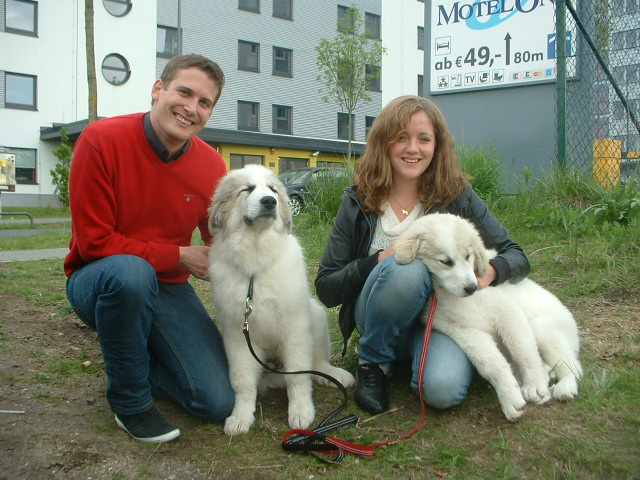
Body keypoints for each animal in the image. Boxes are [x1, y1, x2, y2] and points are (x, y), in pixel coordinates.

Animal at [208, 165, 356, 436]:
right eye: (247, 189)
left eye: (273, 189)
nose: (269, 201)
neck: (256, 261)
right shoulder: (237, 334)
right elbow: (242, 381)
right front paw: (240, 417)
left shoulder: (294, 326)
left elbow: (298, 375)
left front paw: (301, 412)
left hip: (316, 316)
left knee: (316, 362)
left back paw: (333, 375)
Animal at [392, 213, 584, 420]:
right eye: (445, 262)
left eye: (468, 256)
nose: (471, 288)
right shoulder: (464, 331)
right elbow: (492, 363)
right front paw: (510, 399)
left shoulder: (507, 313)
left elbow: (523, 351)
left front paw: (535, 385)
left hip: (542, 328)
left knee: (572, 365)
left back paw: (565, 385)